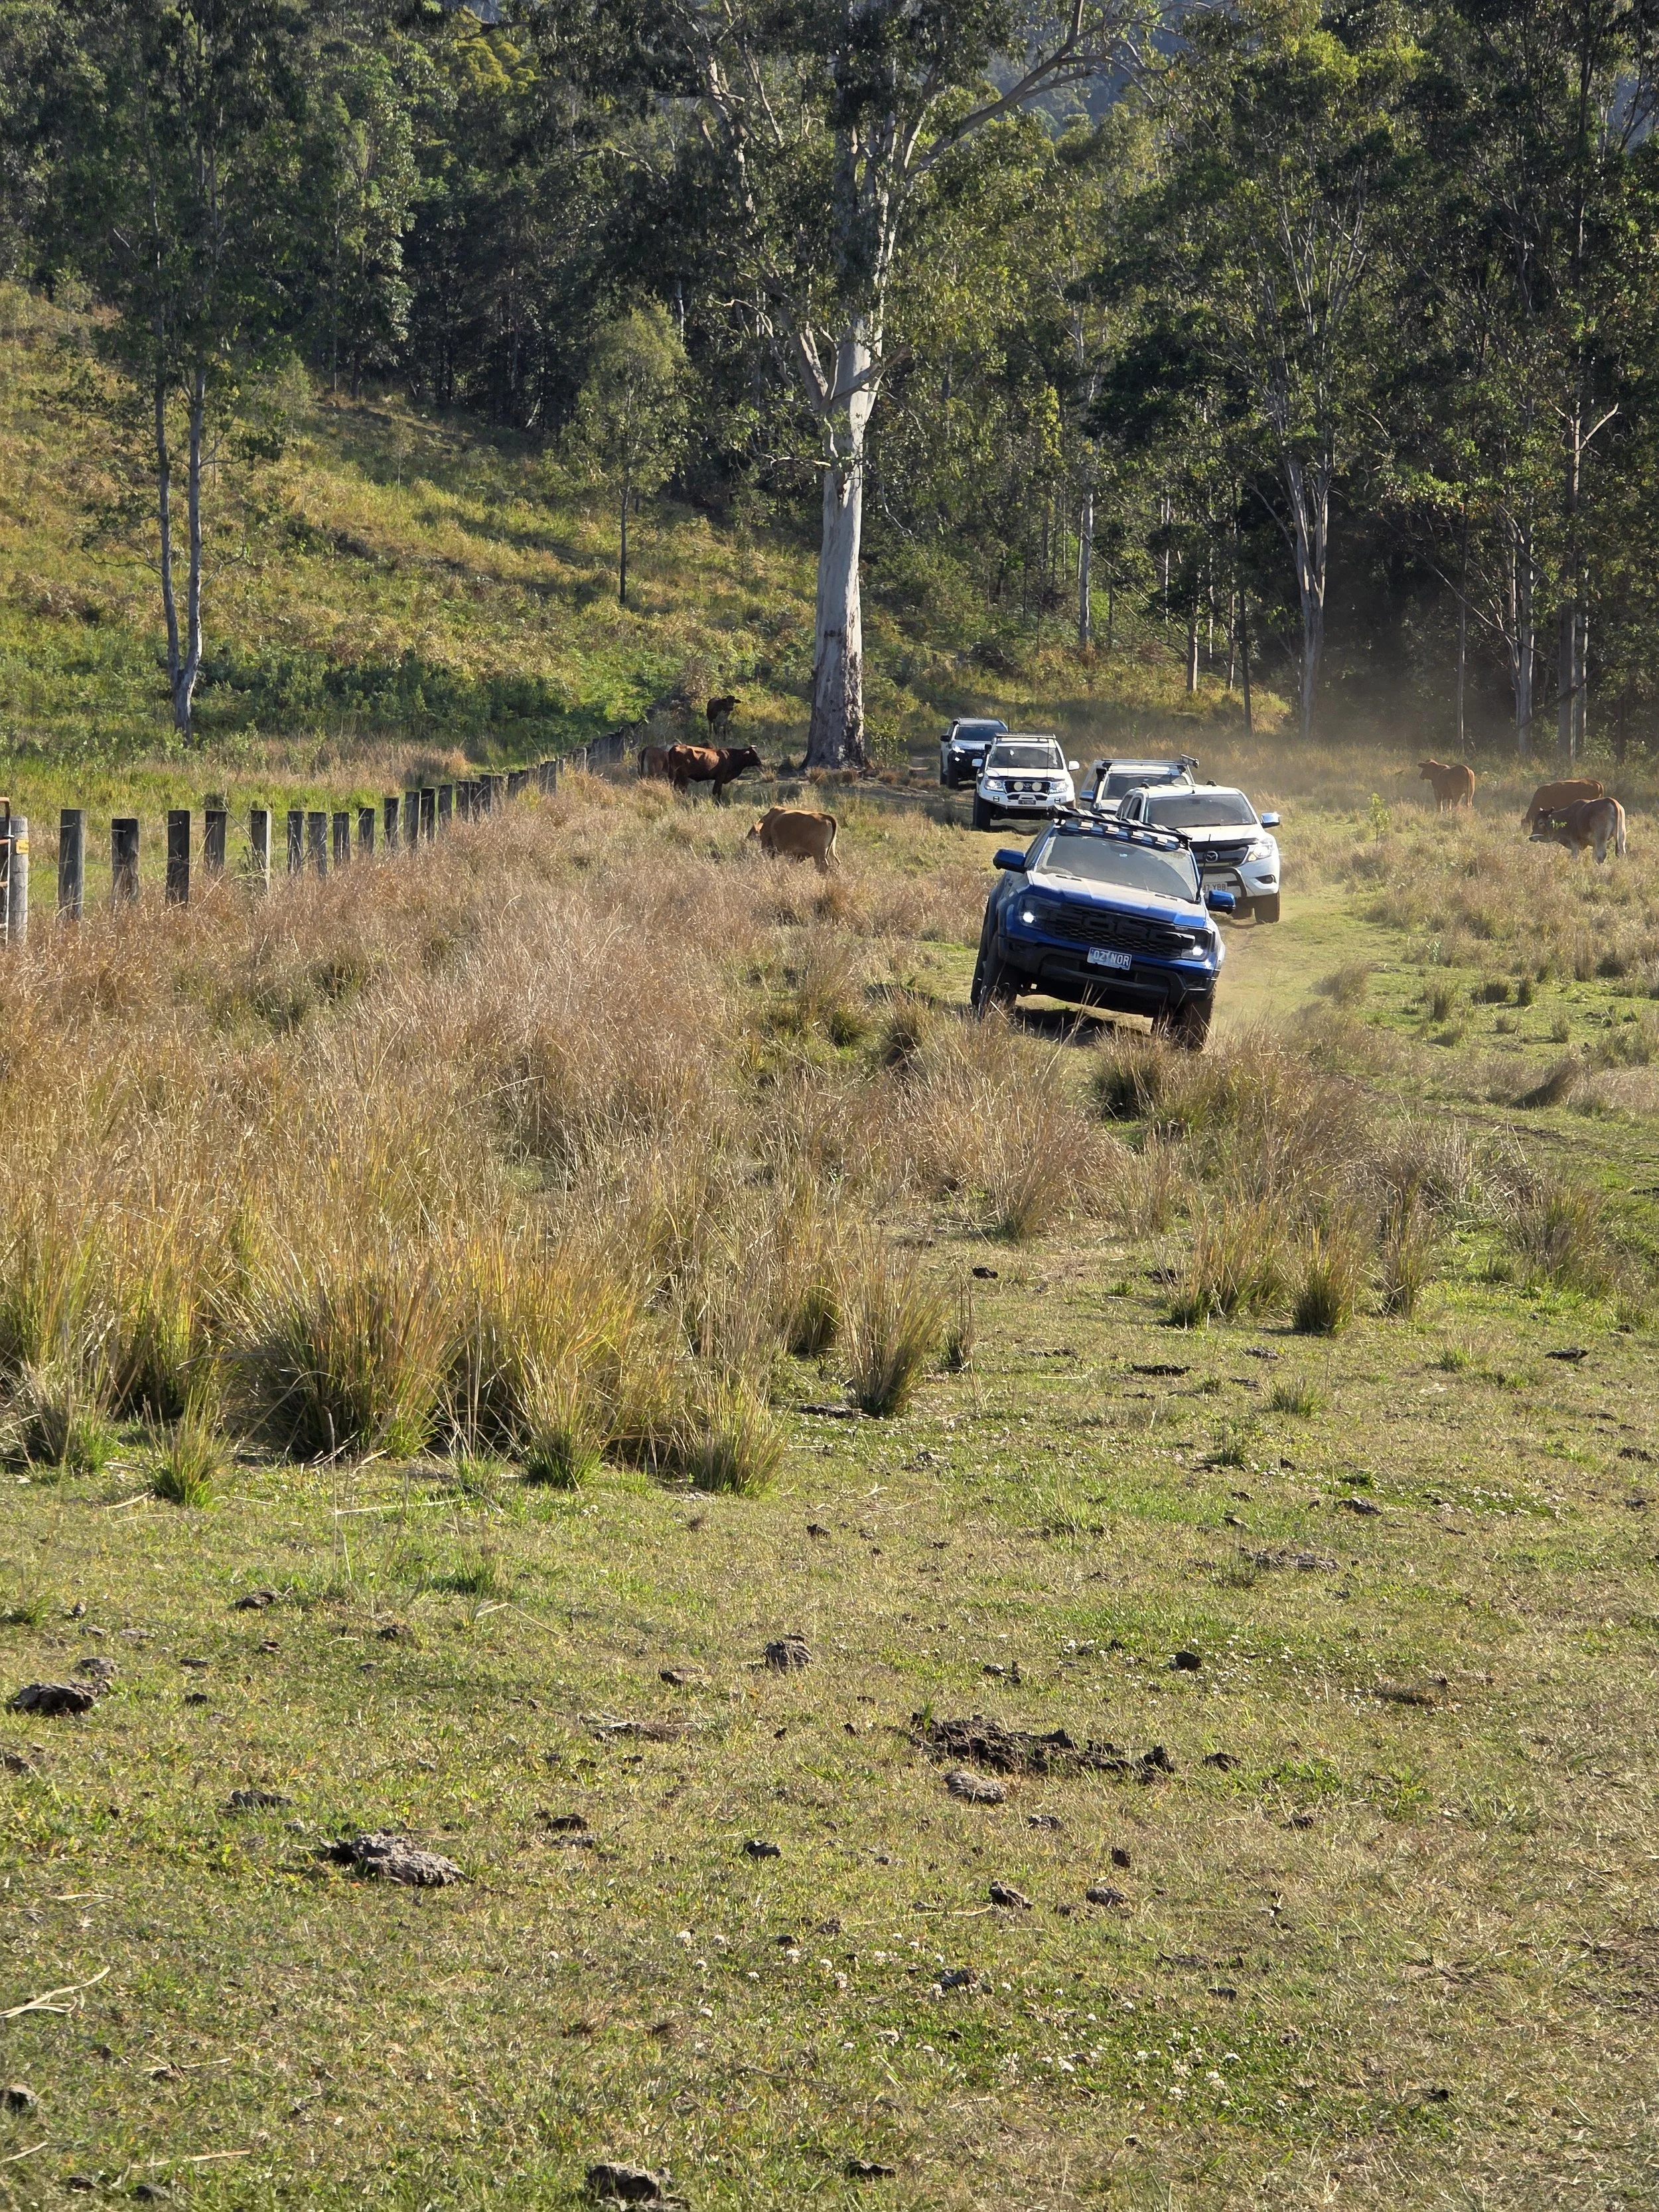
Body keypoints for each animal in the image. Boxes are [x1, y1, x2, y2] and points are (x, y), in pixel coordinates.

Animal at [664, 742, 763, 800]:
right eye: (753, 754)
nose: (760, 762)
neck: (731, 756)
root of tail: (675, 747)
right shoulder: (720, 777)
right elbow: (715, 791)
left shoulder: (721, 779)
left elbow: (719, 792)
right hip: (683, 776)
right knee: (682, 789)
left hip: (676, 776)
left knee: (675, 788)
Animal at [1530, 795, 1627, 864]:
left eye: (1540, 822)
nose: (1531, 837)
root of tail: (1611, 801)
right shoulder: (1594, 844)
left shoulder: (1575, 843)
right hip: (1621, 835)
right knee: (1621, 853)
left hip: (1601, 838)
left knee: (1601, 856)